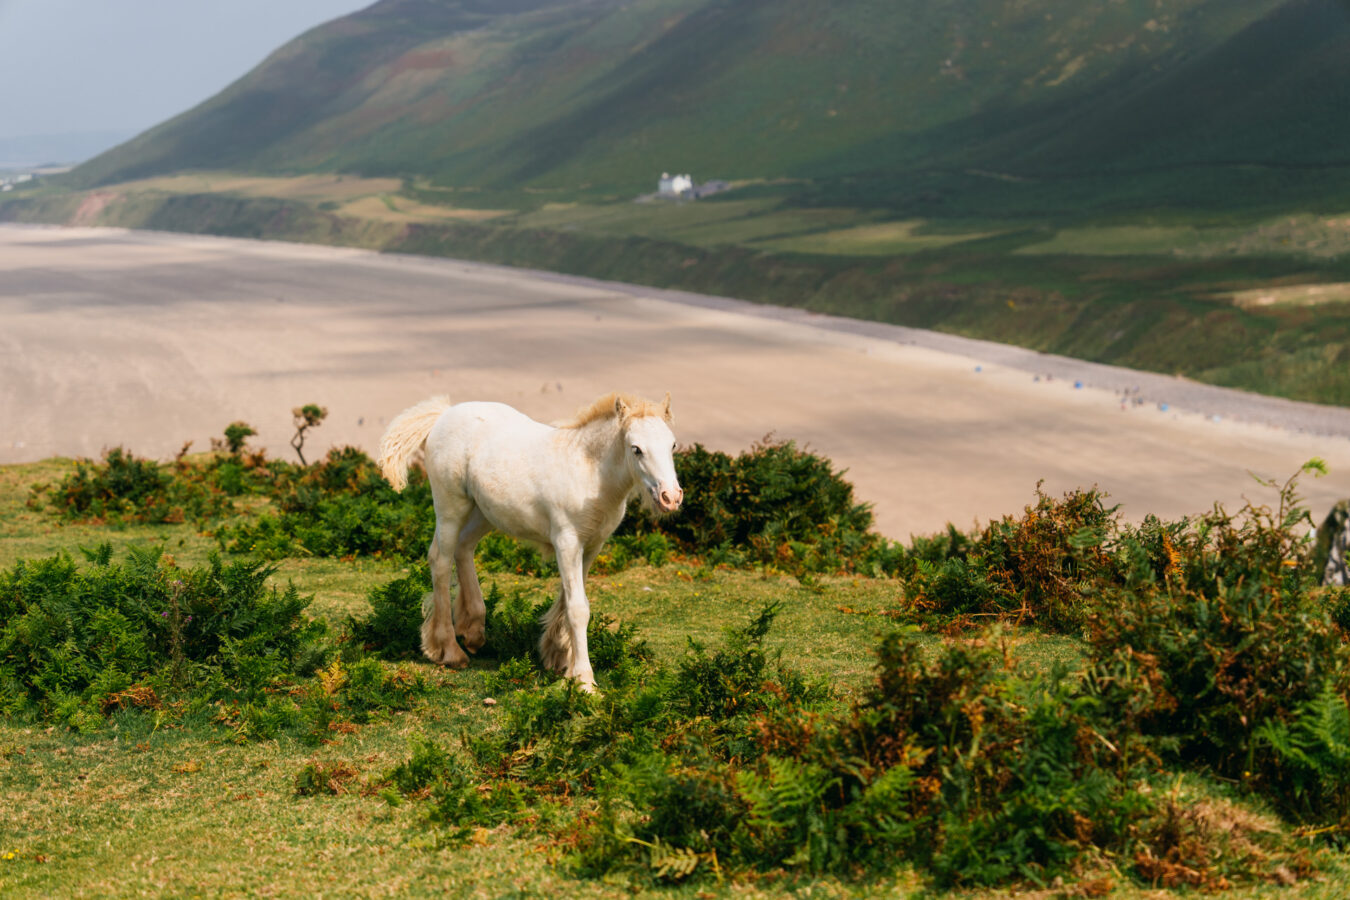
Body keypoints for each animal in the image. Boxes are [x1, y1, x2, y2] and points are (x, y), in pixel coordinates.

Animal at [377, 392, 683, 690]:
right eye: (636, 449)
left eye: (672, 445)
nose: (670, 497)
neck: (589, 473)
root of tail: (444, 414)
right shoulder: (567, 542)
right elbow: (577, 608)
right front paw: (584, 679)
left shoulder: (591, 546)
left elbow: (569, 601)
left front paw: (559, 657)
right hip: (451, 507)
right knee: (440, 561)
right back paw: (449, 650)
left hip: (485, 512)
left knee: (463, 548)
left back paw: (473, 630)